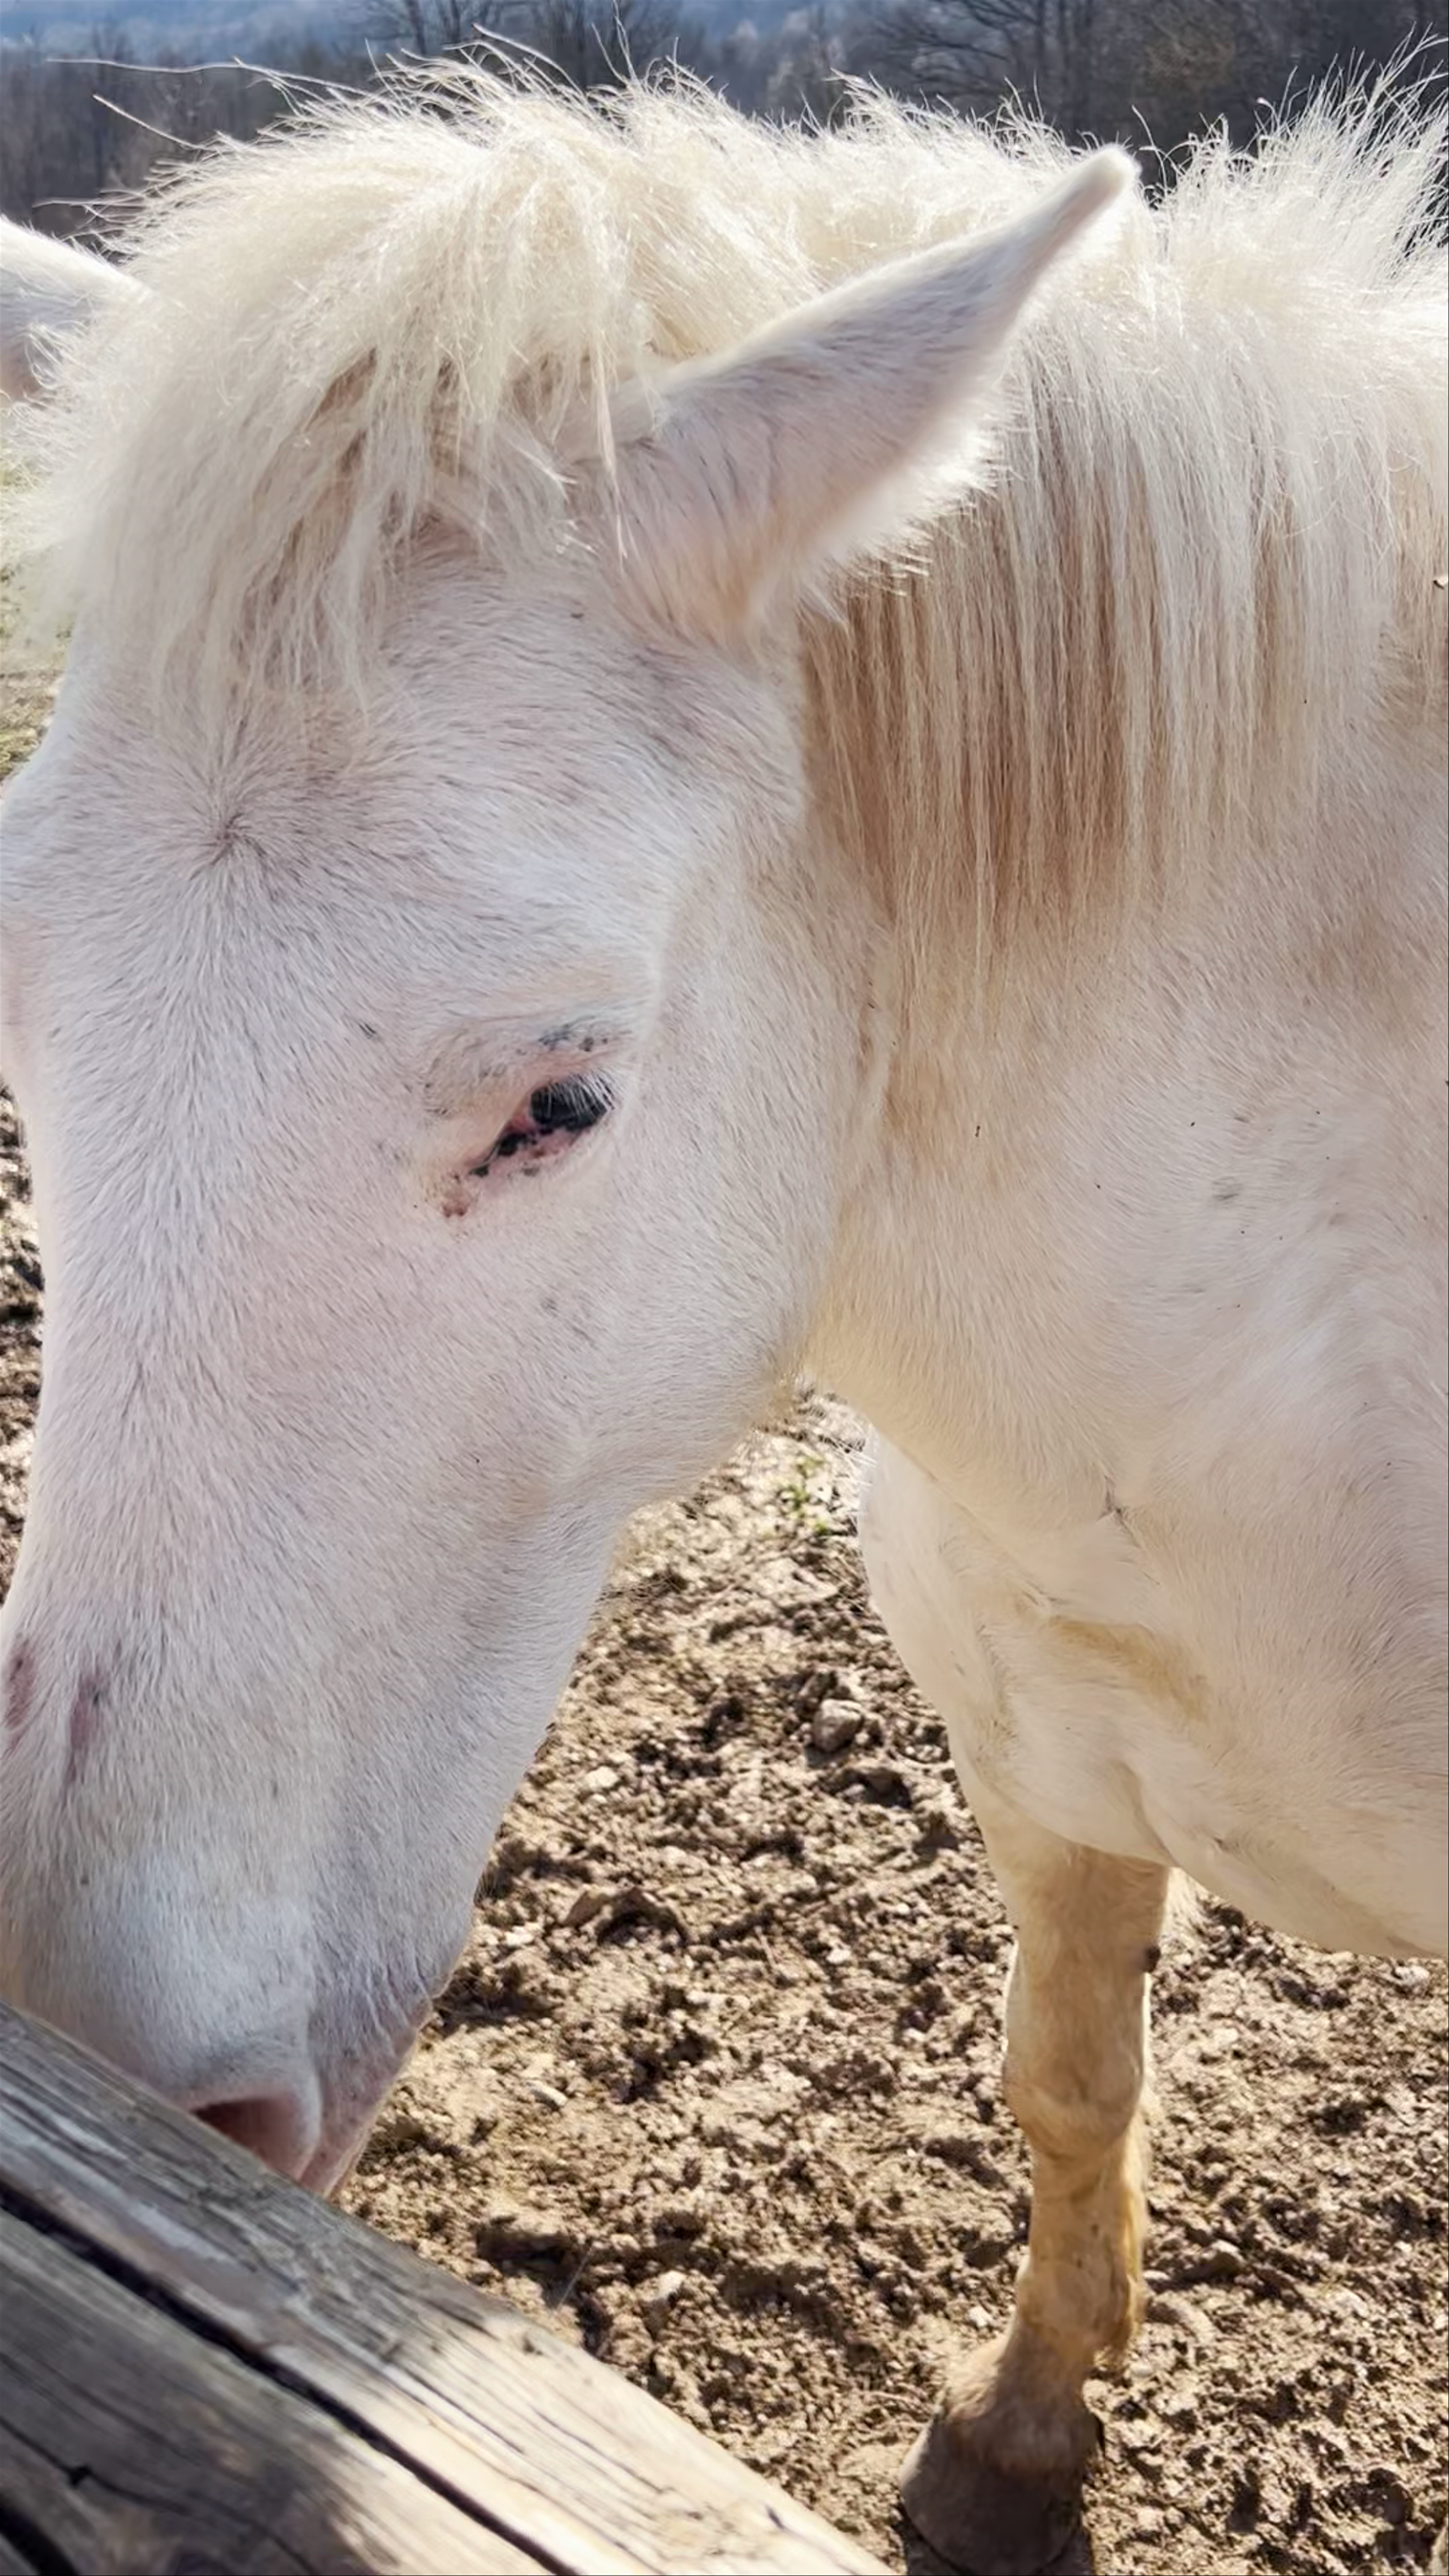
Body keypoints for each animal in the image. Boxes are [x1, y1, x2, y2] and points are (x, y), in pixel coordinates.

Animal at [0, 66, 1444, 2575]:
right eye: (18, 994)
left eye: (561, 1099)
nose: (112, 2075)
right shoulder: (1049, 1769)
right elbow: (1069, 2082)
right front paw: (1019, 2428)